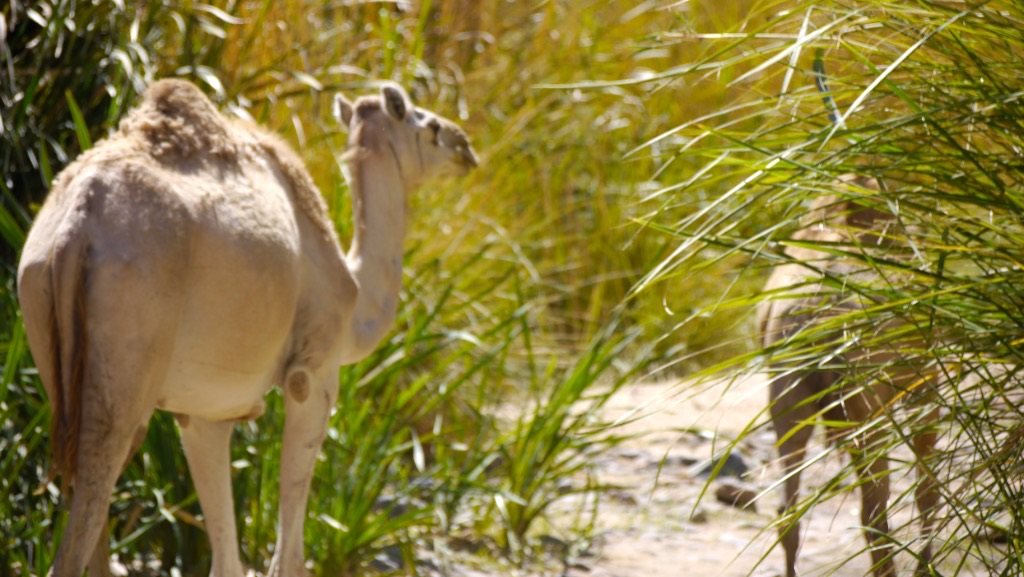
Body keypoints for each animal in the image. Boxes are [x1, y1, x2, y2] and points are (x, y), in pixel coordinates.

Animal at [17, 78, 477, 577]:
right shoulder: (313, 374)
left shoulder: (206, 412)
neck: (355, 296)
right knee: (88, 504)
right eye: (427, 125)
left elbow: (226, 557)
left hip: (45, 325)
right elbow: (288, 553)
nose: (464, 145)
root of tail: (75, 229)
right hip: (127, 349)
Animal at [757, 176, 941, 577]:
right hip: (868, 413)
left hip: (789, 402)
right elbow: (927, 492)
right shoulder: (925, 385)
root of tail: (812, 312)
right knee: (876, 513)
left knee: (788, 513)